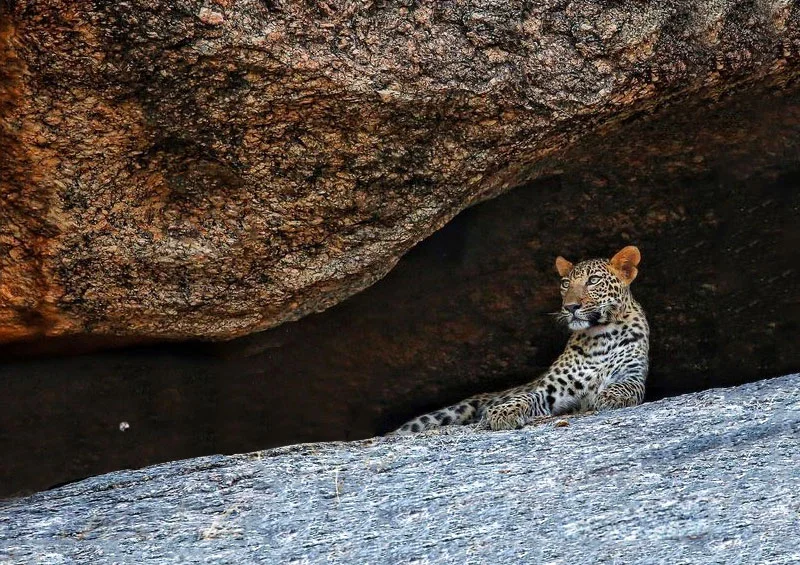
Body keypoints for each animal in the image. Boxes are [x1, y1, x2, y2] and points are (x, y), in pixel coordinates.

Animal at [394, 245, 648, 434]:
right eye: (565, 284)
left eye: (593, 280)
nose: (570, 307)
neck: (601, 336)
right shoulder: (551, 390)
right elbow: (526, 395)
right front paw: (503, 412)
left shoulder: (633, 375)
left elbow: (625, 385)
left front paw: (611, 395)